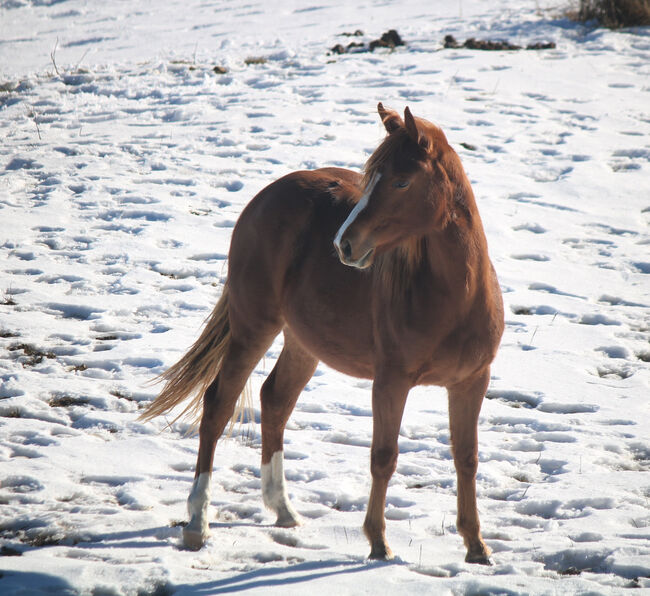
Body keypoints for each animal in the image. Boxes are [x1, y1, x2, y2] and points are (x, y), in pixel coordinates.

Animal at [142, 101, 504, 564]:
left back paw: (283, 509)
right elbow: (384, 456)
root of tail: (264, 197)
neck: (456, 298)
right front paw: (378, 542)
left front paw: (476, 546)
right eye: (370, 178)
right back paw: (197, 524)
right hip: (253, 326)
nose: (344, 244)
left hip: (302, 342)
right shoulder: (391, 381)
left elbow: (467, 458)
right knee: (218, 405)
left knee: (275, 400)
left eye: (402, 181)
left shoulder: (472, 382)